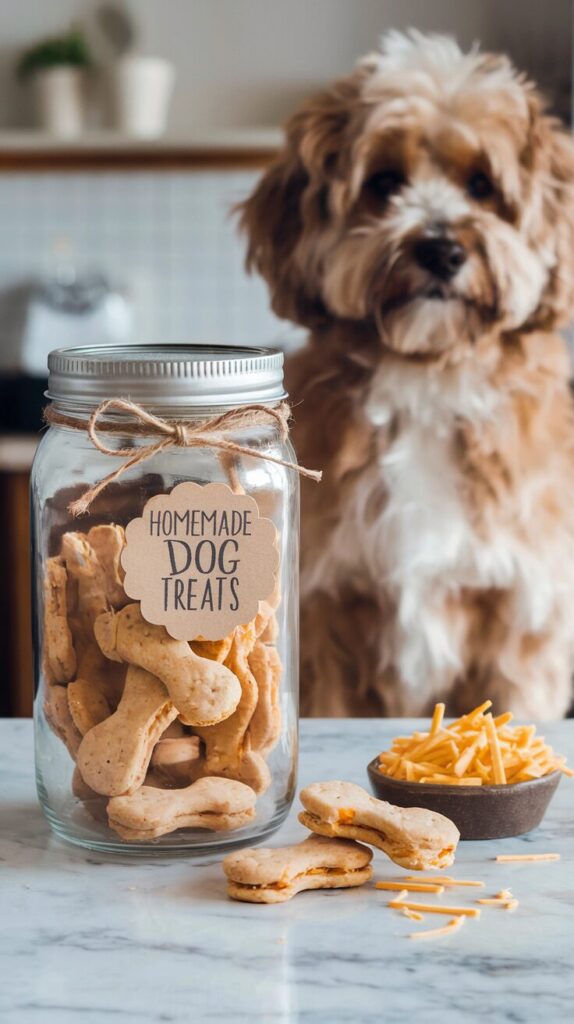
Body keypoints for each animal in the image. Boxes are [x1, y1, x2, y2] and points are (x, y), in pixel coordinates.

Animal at [239, 32, 572, 720]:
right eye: (385, 182)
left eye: (482, 184)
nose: (441, 249)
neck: (428, 381)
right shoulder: (325, 614)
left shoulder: (521, 615)